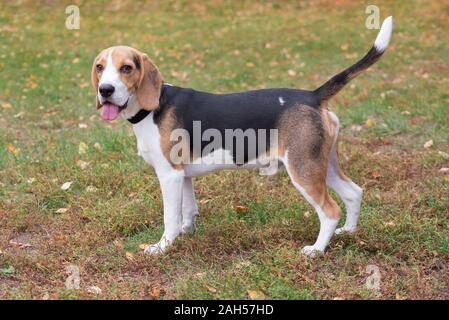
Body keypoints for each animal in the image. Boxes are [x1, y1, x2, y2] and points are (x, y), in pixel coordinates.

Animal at [91, 16, 392, 255]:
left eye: (127, 68)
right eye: (99, 67)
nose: (105, 90)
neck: (153, 107)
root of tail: (312, 96)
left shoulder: (169, 175)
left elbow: (170, 217)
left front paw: (162, 247)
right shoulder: (182, 175)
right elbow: (187, 210)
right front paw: (186, 234)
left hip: (303, 169)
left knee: (330, 211)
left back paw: (316, 250)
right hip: (321, 163)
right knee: (353, 193)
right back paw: (349, 232)